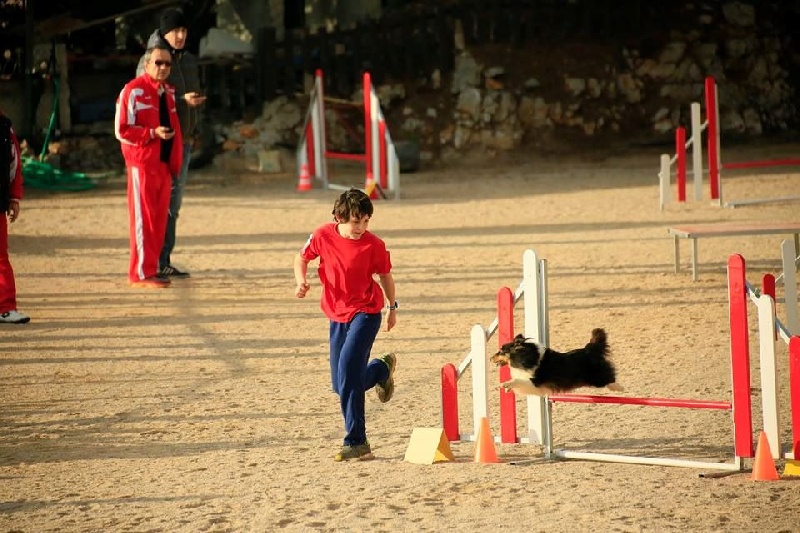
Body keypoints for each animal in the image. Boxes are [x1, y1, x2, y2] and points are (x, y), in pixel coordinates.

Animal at [488, 326, 624, 396]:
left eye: (501, 351)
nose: (490, 358)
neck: (526, 358)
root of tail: (589, 349)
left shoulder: (535, 382)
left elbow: (517, 380)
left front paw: (505, 384)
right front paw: (508, 388)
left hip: (596, 376)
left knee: (609, 376)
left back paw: (618, 387)